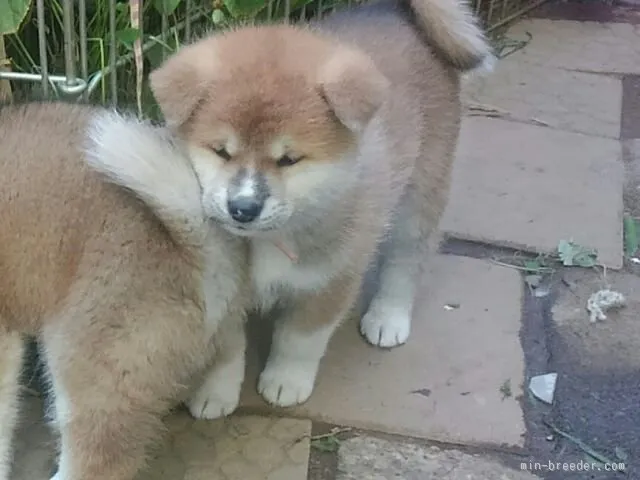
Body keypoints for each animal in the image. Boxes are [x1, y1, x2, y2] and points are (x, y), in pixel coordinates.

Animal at [151, 0, 496, 412]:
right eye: (221, 151)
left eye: (289, 159)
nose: (243, 208)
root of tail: (393, 11)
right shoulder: (225, 294)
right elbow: (227, 350)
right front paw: (214, 393)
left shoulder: (331, 276)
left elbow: (300, 339)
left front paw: (285, 381)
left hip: (421, 191)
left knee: (407, 259)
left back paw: (389, 316)